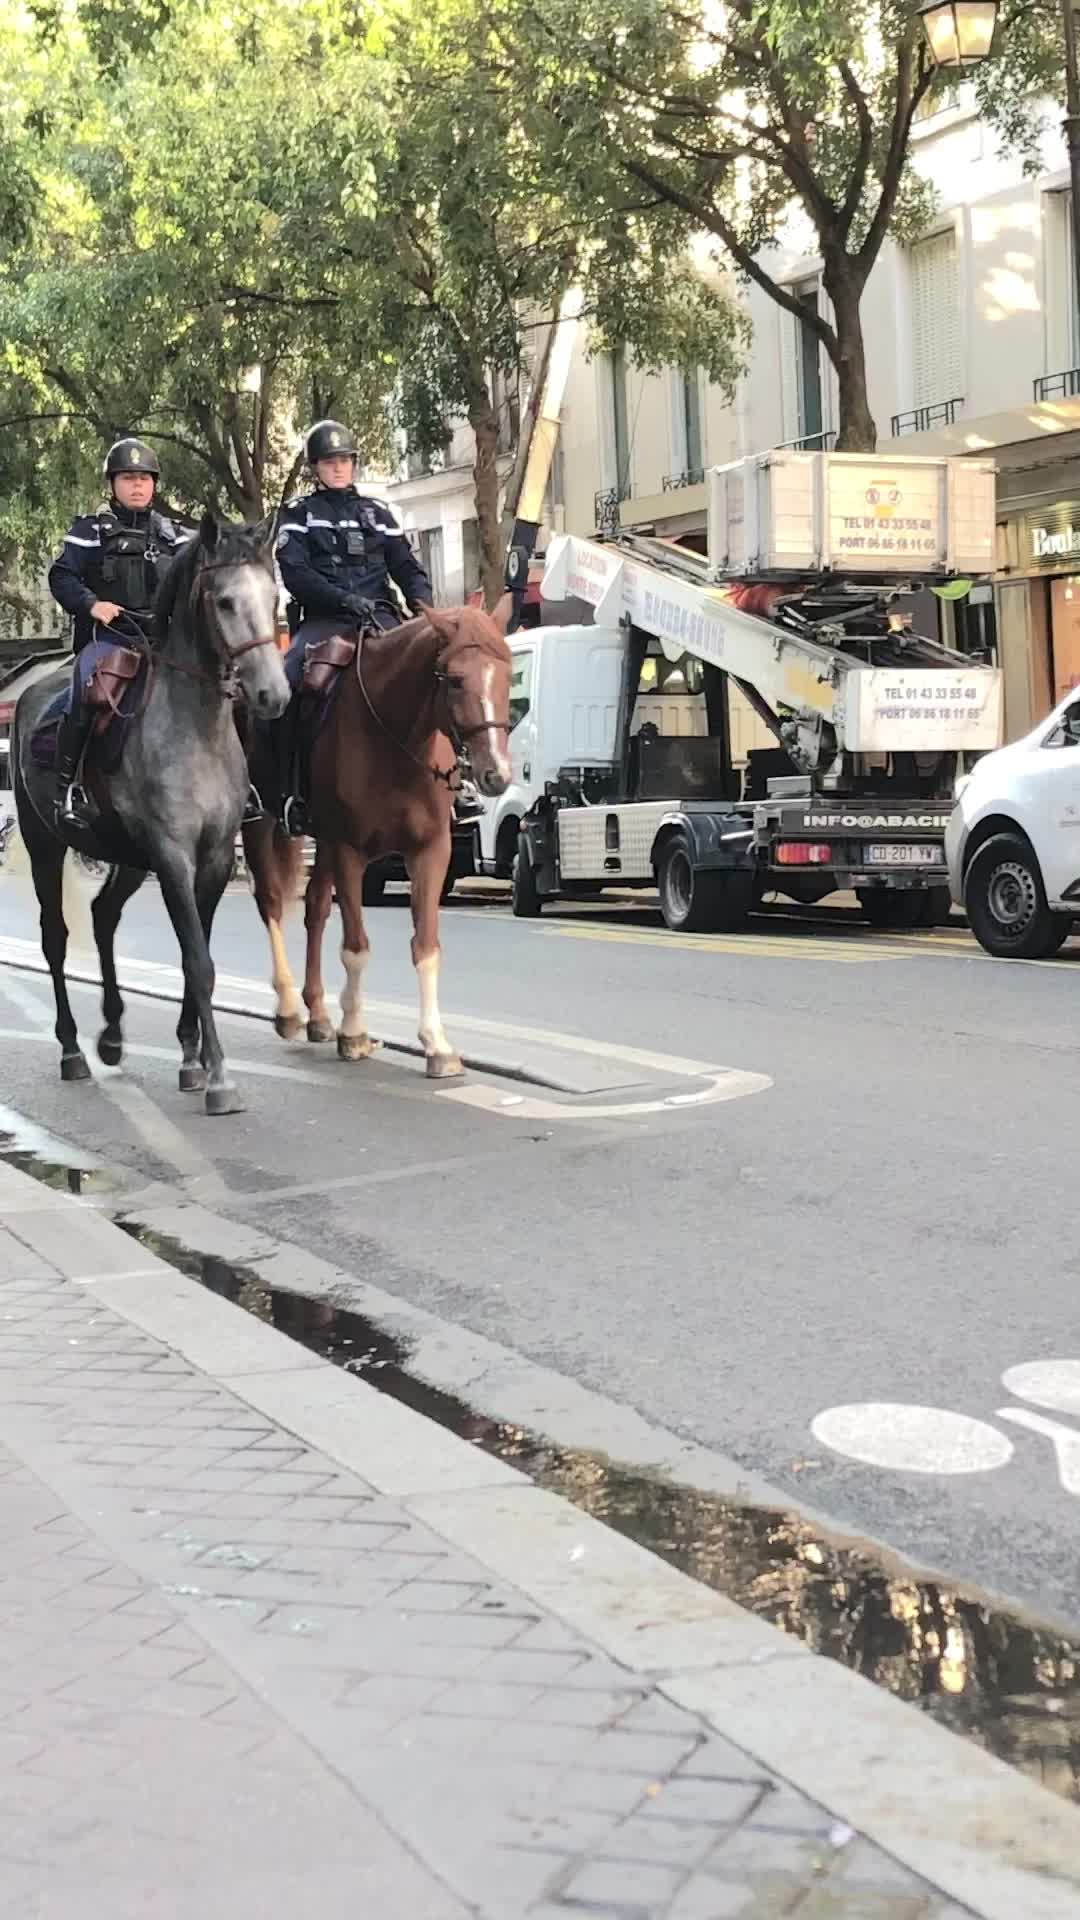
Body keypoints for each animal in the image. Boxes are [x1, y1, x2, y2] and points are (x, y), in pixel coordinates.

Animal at [12, 512, 291, 1116]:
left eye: (275, 595)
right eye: (226, 601)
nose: (273, 695)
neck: (197, 728)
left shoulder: (213, 859)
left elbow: (198, 953)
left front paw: (191, 1057)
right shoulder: (173, 858)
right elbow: (198, 962)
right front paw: (219, 1078)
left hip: (127, 857)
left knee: (102, 917)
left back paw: (113, 1035)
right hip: (46, 843)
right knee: (55, 937)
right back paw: (72, 1049)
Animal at [242, 597, 513, 1077]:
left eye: (509, 672)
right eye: (455, 680)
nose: (496, 774)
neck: (394, 739)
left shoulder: (430, 851)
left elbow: (425, 945)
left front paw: (436, 1043)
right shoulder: (349, 850)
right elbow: (356, 946)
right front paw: (354, 1033)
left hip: (322, 843)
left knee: (315, 908)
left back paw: (318, 1013)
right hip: (262, 822)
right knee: (271, 902)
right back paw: (290, 1009)